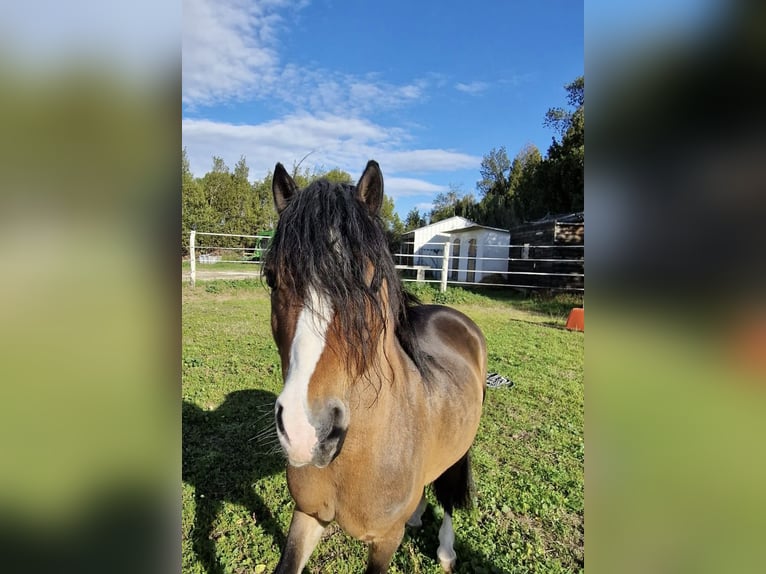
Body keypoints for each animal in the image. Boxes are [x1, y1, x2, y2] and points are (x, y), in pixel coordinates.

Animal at [262, 160, 486, 572]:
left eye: (367, 279)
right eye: (271, 278)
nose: (306, 431)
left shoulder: (385, 541)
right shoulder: (307, 516)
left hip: (460, 448)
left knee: (448, 492)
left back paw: (446, 550)